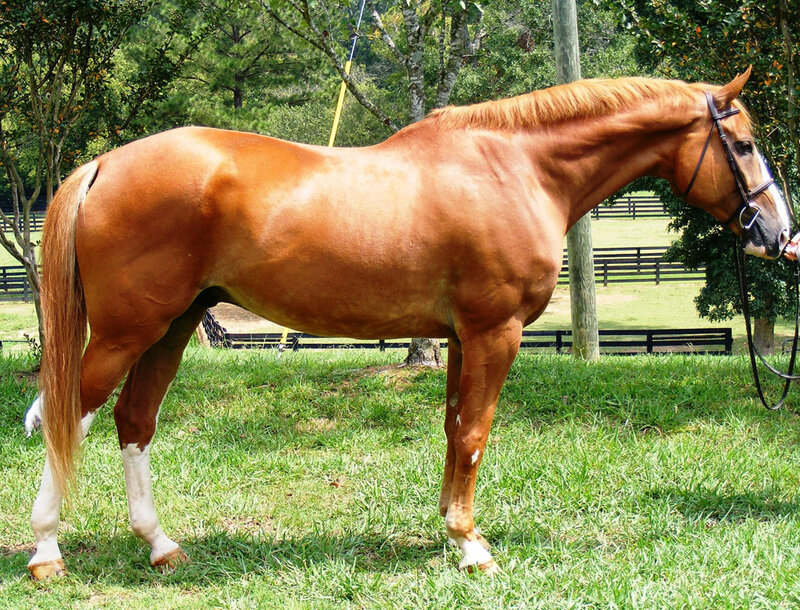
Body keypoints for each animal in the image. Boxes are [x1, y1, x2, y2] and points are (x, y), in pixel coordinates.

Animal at [24, 68, 793, 579]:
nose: (780, 234)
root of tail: (104, 163)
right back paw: (46, 552)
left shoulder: (459, 336)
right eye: (743, 145)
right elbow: (476, 432)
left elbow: (455, 430)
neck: (516, 169)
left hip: (173, 327)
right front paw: (471, 546)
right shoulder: (494, 331)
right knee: (70, 414)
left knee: (133, 421)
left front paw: (451, 532)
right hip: (127, 331)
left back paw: (159, 545)